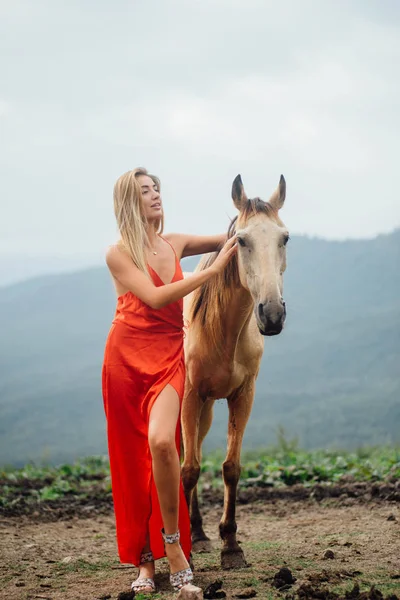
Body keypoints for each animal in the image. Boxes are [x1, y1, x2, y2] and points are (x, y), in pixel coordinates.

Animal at [181, 172, 288, 568]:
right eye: (241, 240)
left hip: (208, 409)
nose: (271, 314)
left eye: (284, 238)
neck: (222, 331)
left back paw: (198, 532)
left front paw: (231, 545)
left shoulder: (242, 396)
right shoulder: (191, 395)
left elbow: (231, 467)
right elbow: (189, 469)